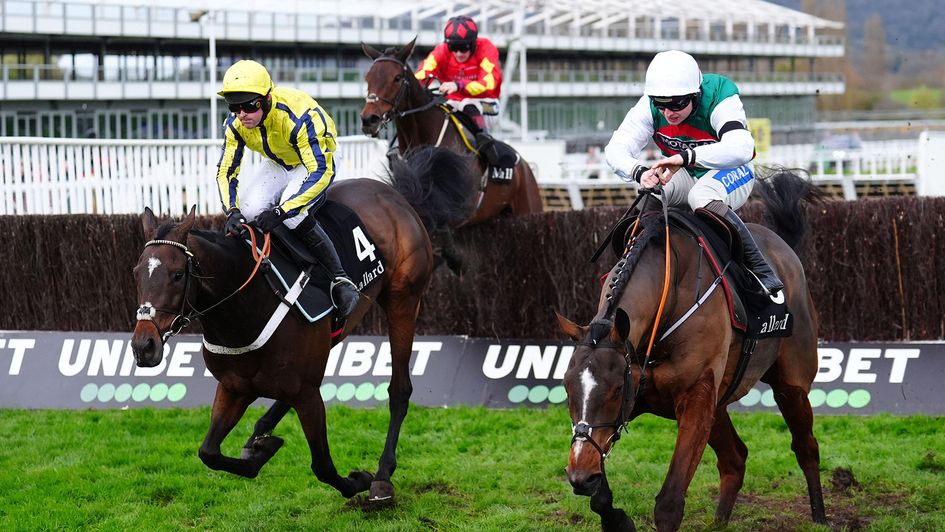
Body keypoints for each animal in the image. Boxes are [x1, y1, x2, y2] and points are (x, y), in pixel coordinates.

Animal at [128, 148, 472, 504]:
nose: (144, 345)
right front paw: (260, 450)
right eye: (136, 272)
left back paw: (382, 476)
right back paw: (260, 433)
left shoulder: (306, 394)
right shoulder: (235, 387)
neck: (245, 306)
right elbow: (208, 452)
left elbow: (323, 466)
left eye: (177, 274)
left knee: (399, 390)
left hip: (403, 300)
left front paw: (359, 479)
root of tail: (397, 196)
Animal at [556, 171, 828, 532]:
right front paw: (618, 517)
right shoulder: (646, 399)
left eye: (615, 390)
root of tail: (785, 248)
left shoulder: (695, 396)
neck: (667, 297)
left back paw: (820, 516)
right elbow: (600, 496)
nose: (579, 475)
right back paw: (720, 522)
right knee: (735, 458)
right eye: (567, 388)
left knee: (806, 447)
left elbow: (669, 503)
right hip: (720, 401)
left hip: (791, 384)